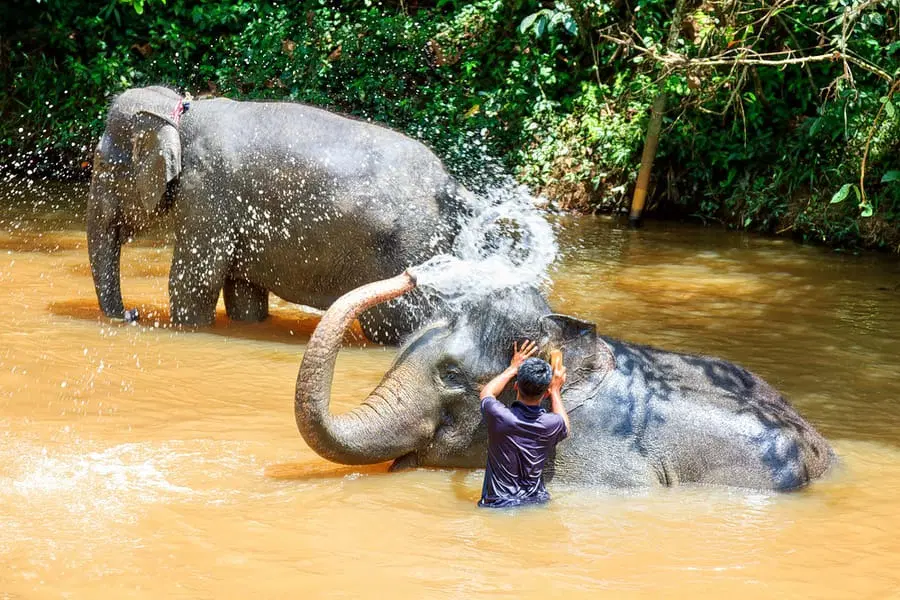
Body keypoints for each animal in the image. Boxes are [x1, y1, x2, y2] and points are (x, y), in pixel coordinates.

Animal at [87, 86, 468, 343]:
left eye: (103, 166)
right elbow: (243, 292)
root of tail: (451, 185)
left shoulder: (206, 193)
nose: (131, 314)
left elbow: (195, 280)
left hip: (406, 251)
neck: (182, 113)